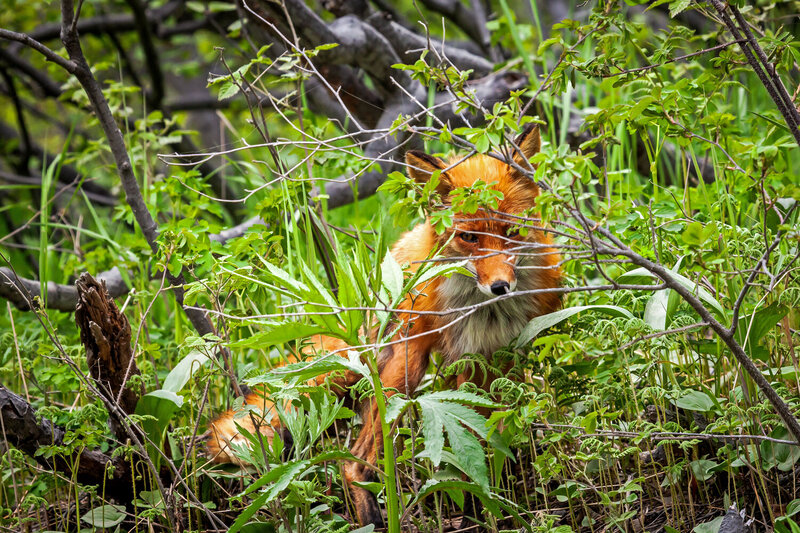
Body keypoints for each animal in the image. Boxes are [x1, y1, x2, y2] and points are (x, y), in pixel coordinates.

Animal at [207, 123, 562, 527]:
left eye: (511, 232)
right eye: (469, 237)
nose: (500, 286)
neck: (486, 314)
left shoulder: (499, 356)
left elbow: (491, 436)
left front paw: (493, 496)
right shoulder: (465, 356)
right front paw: (484, 504)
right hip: (402, 371)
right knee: (354, 462)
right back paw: (375, 518)